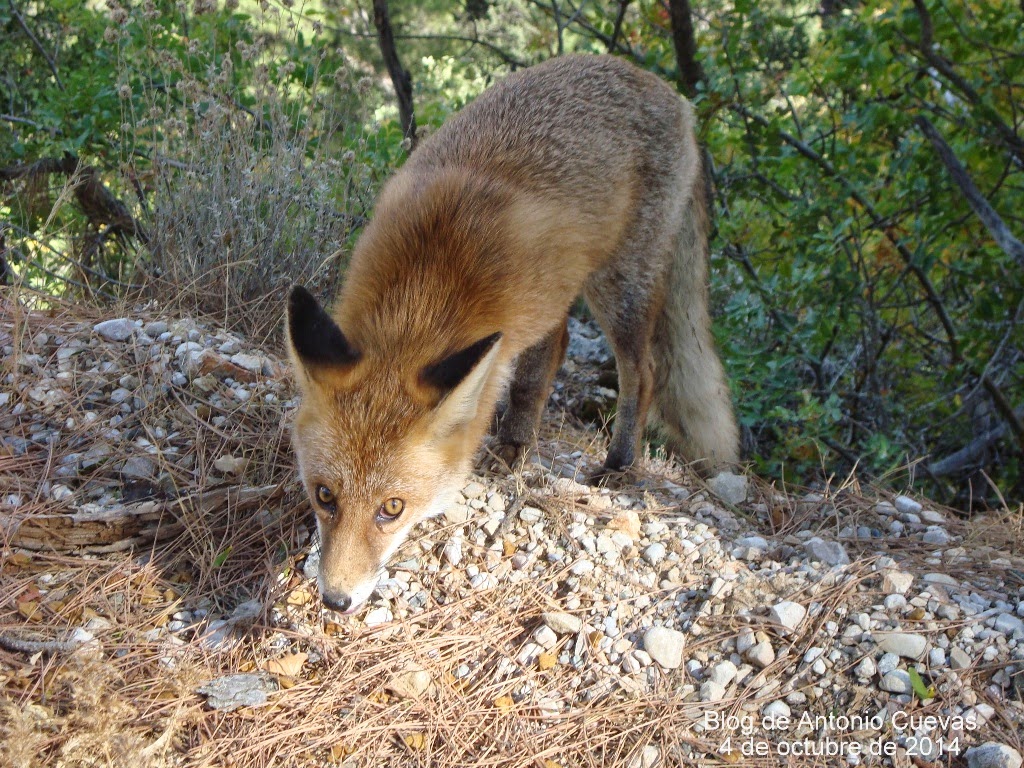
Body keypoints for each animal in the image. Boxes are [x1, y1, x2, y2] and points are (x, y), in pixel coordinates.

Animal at [284, 54, 741, 618]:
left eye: (392, 508)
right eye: (324, 495)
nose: (336, 600)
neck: (431, 278)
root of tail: (669, 93)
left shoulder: (534, 310)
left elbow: (528, 383)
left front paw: (515, 446)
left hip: (618, 286)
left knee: (644, 372)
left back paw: (620, 462)